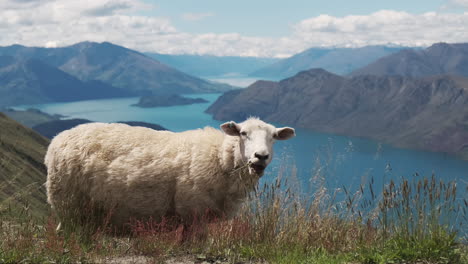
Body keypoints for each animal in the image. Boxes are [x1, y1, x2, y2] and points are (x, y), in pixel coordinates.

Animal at [45, 118, 294, 231]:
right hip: (67, 202)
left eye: (273, 137)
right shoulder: (193, 213)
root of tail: (57, 139)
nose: (260, 156)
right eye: (243, 133)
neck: (220, 158)